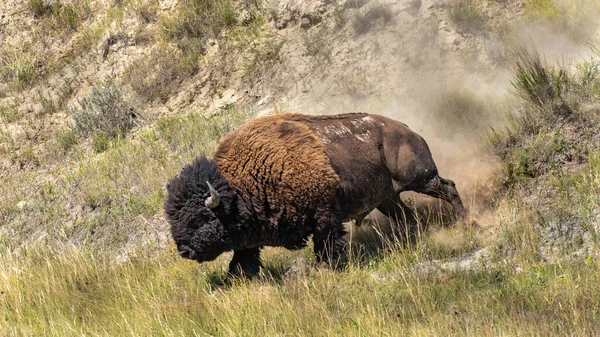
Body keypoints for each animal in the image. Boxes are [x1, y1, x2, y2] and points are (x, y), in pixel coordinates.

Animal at [165, 113, 468, 276]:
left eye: (200, 219)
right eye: (174, 219)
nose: (184, 250)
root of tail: (406, 129)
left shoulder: (326, 218)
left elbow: (325, 246)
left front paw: (324, 268)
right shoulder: (249, 241)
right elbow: (242, 261)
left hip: (420, 178)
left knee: (449, 187)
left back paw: (465, 222)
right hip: (387, 198)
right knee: (407, 216)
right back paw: (411, 240)